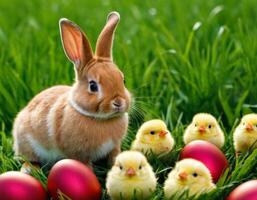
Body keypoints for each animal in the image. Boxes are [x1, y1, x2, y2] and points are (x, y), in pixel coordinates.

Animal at [11, 11, 130, 170]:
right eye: (93, 86)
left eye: (123, 80)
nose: (118, 102)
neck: (100, 119)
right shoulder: (80, 154)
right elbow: (85, 166)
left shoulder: (114, 147)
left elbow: (114, 157)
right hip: (28, 144)